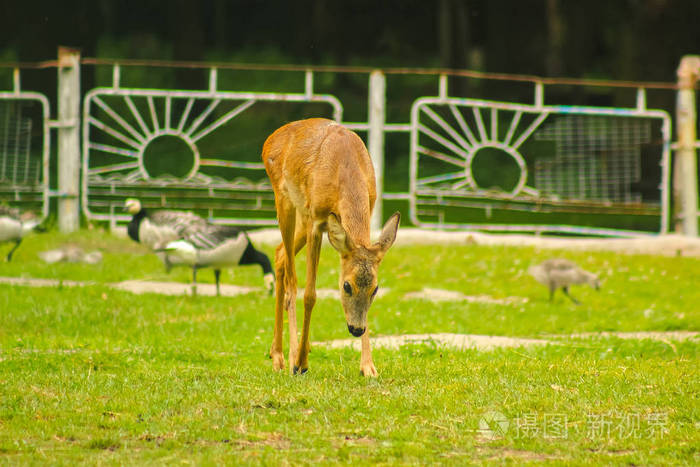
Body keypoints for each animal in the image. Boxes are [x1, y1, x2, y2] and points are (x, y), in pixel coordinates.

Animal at [262, 119, 400, 378]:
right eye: (346, 286)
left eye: (376, 289)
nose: (356, 329)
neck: (345, 169)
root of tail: (270, 139)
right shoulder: (316, 220)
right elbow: (310, 294)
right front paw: (302, 363)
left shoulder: (367, 209)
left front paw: (368, 367)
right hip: (284, 201)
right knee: (291, 280)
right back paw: (289, 357)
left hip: (301, 215)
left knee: (280, 254)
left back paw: (279, 356)